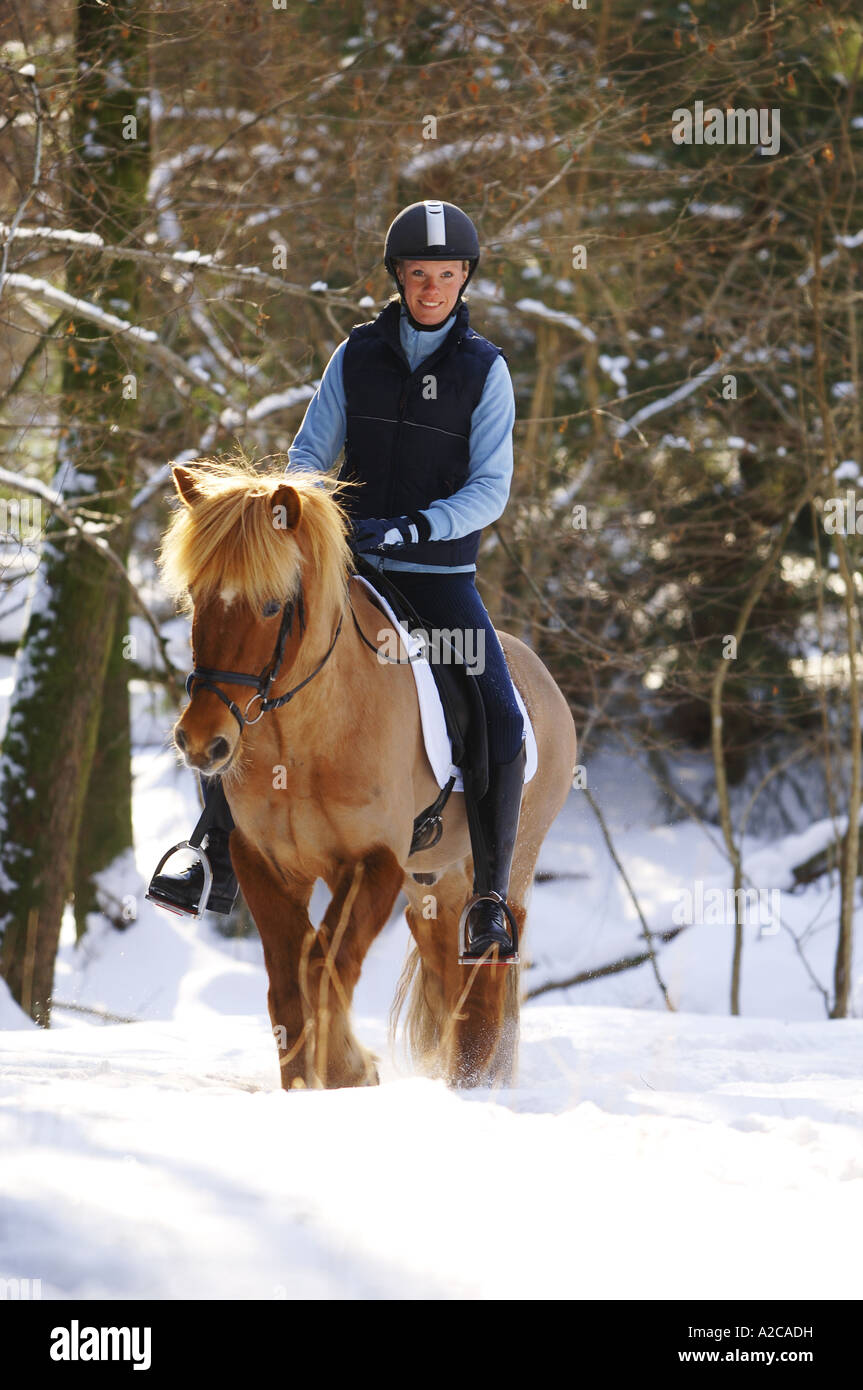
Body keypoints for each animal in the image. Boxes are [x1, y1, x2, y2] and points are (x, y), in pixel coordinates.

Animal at [158, 451, 577, 1090]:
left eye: (272, 605)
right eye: (197, 598)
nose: (202, 743)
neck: (304, 739)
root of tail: (541, 675)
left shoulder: (373, 862)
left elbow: (326, 967)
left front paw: (349, 1072)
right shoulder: (267, 863)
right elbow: (289, 983)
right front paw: (312, 1081)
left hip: (512, 866)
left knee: (486, 971)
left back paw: (477, 1085)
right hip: (433, 882)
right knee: (445, 970)